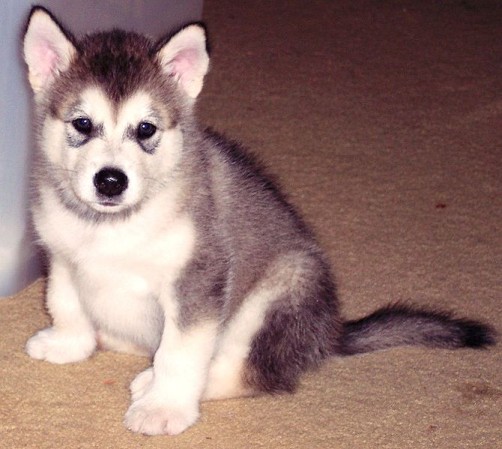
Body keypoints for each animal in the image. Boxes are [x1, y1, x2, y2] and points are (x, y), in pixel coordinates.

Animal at [22, 6, 494, 434]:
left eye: (145, 129)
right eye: (82, 123)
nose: (110, 181)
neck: (108, 228)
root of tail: (326, 335)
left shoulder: (199, 279)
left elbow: (181, 353)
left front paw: (166, 407)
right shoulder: (61, 256)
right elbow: (65, 303)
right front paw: (70, 343)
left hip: (284, 286)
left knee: (257, 372)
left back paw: (157, 383)